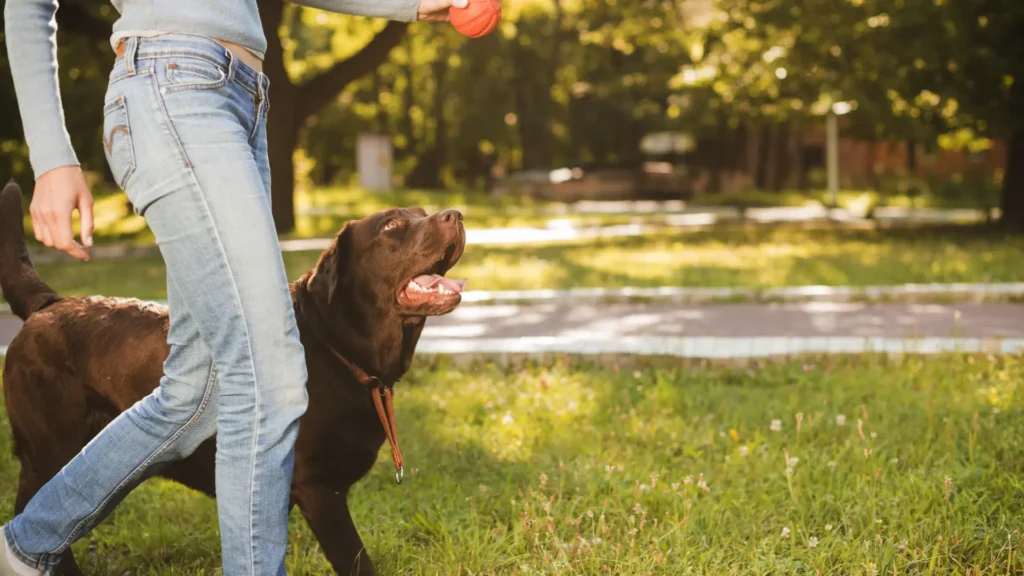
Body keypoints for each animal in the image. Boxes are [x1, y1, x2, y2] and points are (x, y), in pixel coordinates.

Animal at [0, 180, 468, 573]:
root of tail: (47, 304)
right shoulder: (319, 489)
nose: (455, 214)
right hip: (51, 448)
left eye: (421, 212)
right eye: (391, 225)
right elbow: (357, 561)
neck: (336, 346)